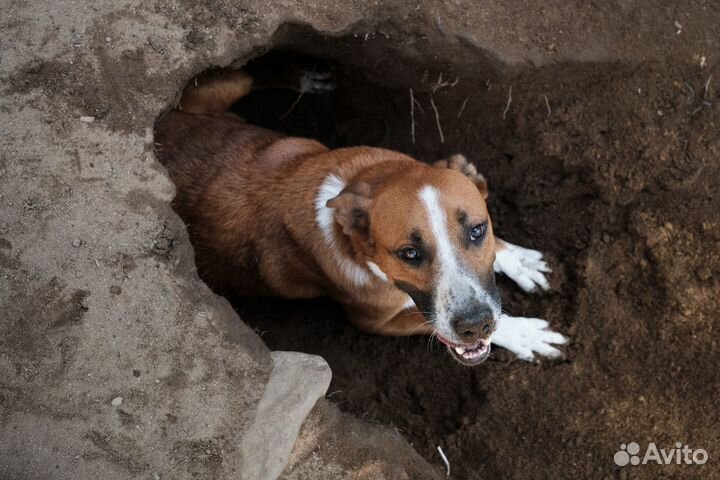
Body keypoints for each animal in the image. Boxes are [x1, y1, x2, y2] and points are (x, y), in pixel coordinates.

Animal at [158, 67, 568, 366]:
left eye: (478, 230)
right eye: (409, 254)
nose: (474, 325)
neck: (361, 183)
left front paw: (517, 260)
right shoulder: (378, 322)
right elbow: (436, 323)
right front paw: (523, 333)